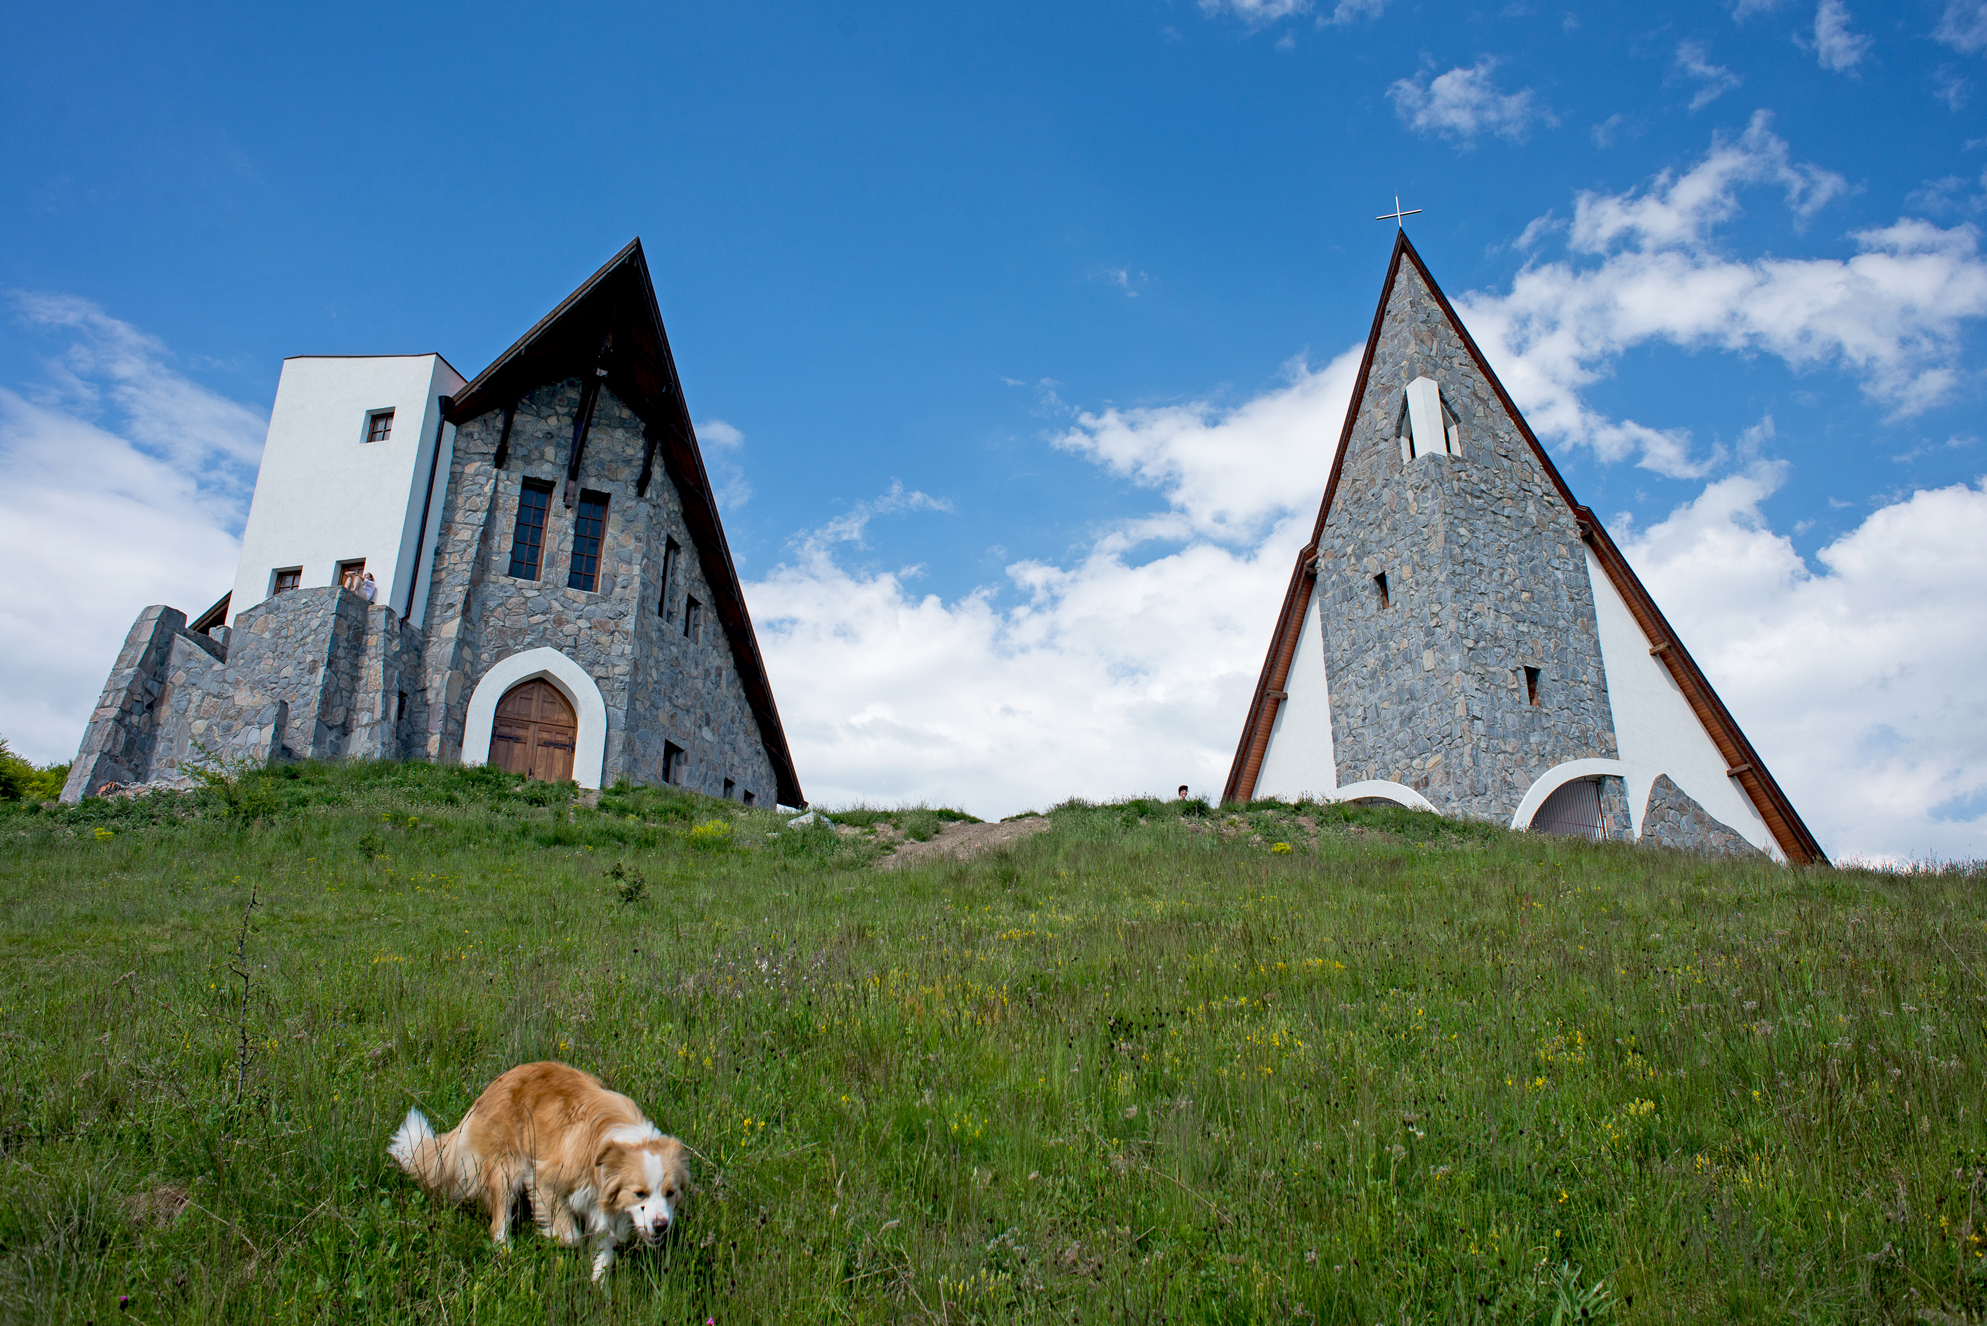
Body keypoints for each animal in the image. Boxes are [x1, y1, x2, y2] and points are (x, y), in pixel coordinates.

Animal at [387, 1065, 691, 1280]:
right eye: (640, 1193)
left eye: (670, 1193)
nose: (661, 1225)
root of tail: (487, 1092)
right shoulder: (545, 1179)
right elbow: (570, 1236)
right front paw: (557, 1239)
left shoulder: (604, 1205)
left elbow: (602, 1257)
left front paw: (598, 1296)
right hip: (506, 1169)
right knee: (498, 1222)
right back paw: (505, 1252)